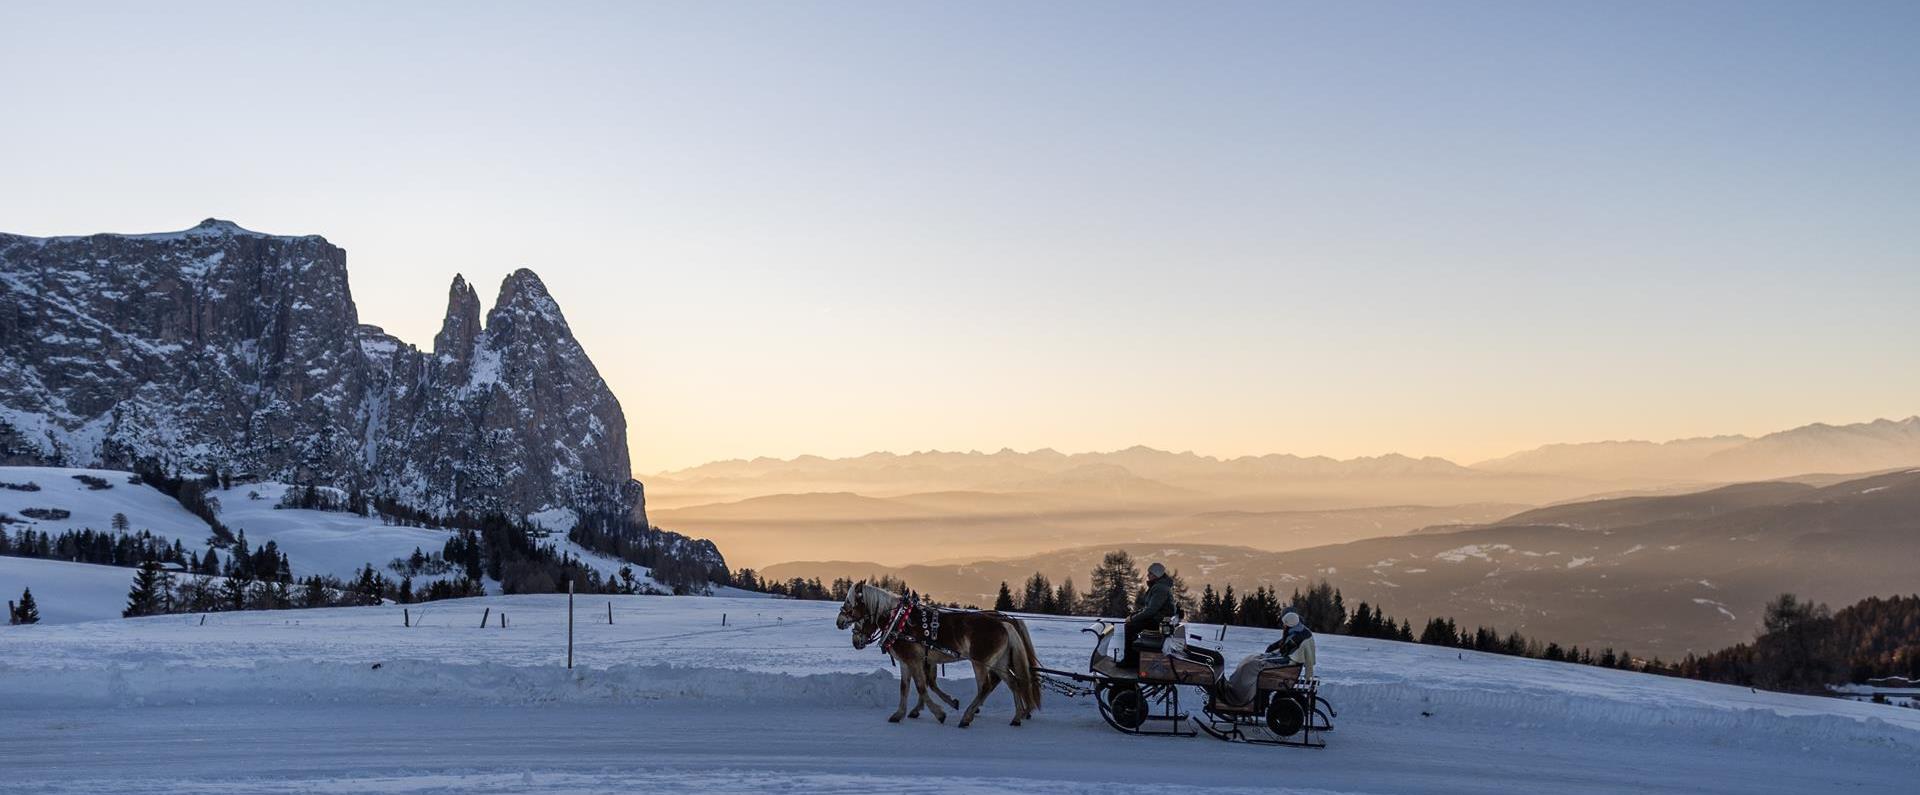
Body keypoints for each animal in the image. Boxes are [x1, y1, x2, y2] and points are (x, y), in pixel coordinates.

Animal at [837, 576, 1044, 725]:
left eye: (849, 602)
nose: (839, 622)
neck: (899, 621)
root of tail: (1004, 623)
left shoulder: (915, 660)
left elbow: (922, 687)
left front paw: (939, 713)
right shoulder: (908, 662)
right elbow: (905, 687)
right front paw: (899, 714)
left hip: (980, 662)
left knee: (985, 686)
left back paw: (967, 717)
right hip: (1000, 662)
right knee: (1013, 683)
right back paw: (1017, 717)